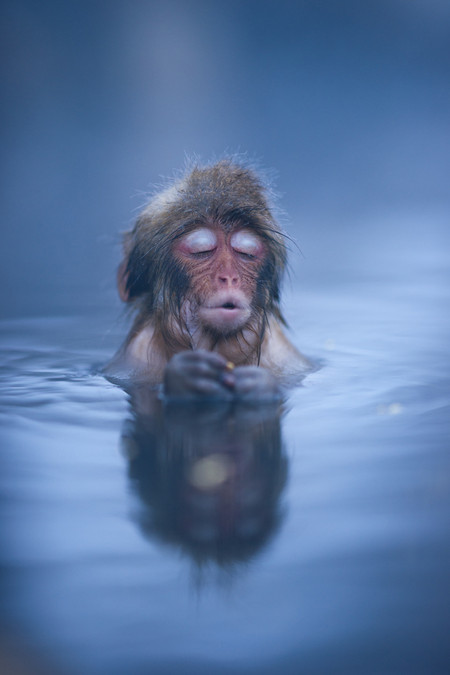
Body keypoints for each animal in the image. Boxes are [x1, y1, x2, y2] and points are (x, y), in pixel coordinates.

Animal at [105, 158, 310, 402]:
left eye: (246, 253)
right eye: (201, 251)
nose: (229, 277)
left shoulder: (284, 355)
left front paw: (258, 385)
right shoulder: (135, 357)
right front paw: (186, 377)